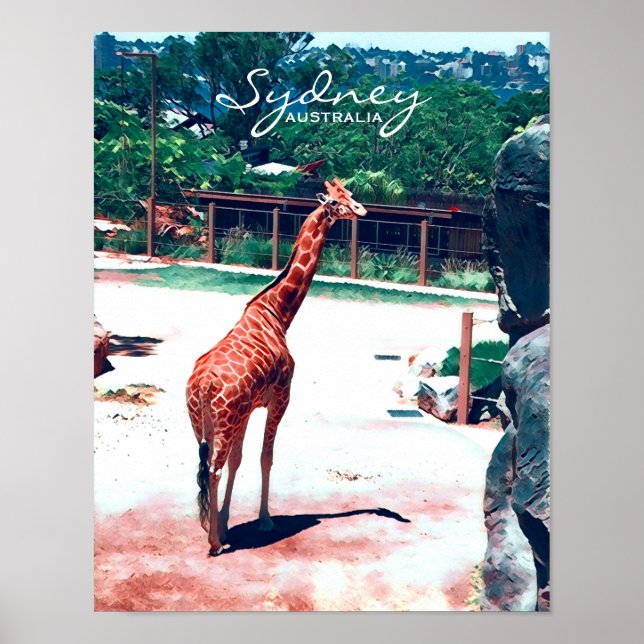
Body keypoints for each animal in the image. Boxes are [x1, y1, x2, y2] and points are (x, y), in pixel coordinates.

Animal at [186, 178, 367, 556]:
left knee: (205, 466)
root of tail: (202, 384)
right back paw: (214, 543)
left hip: (202, 422)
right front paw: (265, 520)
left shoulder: (247, 409)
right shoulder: (281, 397)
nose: (361, 210)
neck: (278, 314)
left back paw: (210, 527)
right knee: (213, 469)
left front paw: (225, 520)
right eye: (337, 201)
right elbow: (265, 457)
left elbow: (240, 459)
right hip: (223, 420)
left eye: (350, 195)